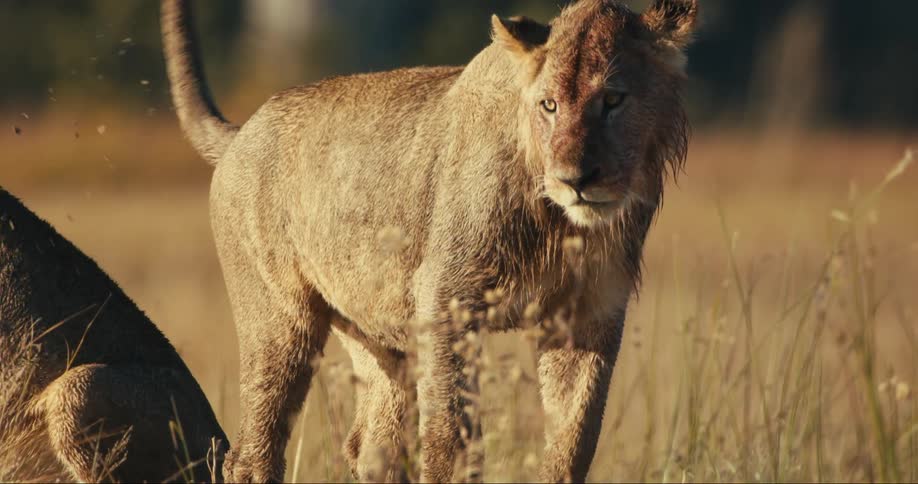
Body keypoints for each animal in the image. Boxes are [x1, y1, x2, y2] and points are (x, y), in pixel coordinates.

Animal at [162, 0, 697, 481]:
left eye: (613, 100)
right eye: (549, 105)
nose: (575, 179)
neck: (562, 225)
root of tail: (242, 131)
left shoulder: (587, 315)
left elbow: (573, 439)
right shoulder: (446, 298)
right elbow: (449, 439)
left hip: (378, 335)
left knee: (369, 446)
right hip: (279, 320)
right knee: (252, 451)